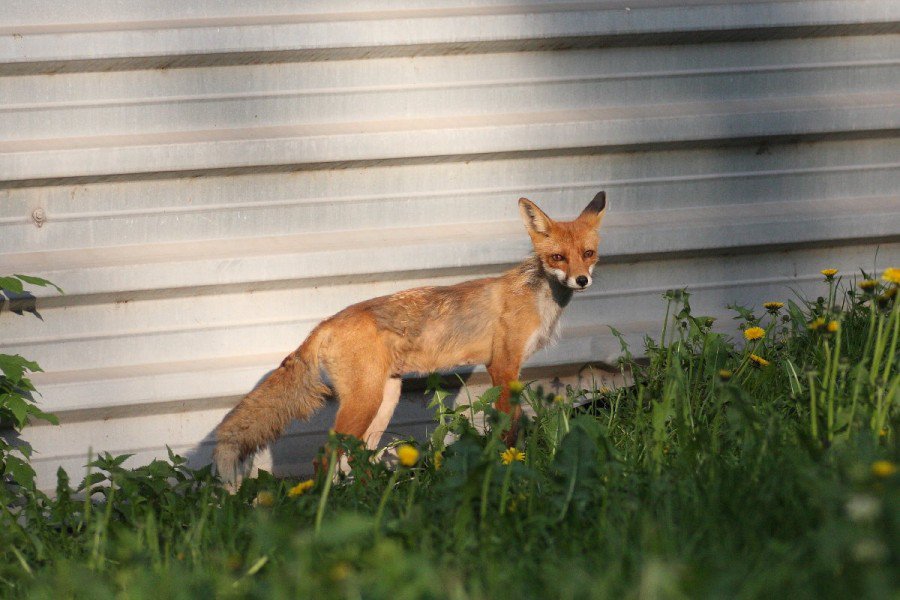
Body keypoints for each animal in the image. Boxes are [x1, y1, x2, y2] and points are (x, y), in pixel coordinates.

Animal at [213, 192, 604, 482]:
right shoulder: (503, 366)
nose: (582, 280)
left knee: (357, 455)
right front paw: (512, 465)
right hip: (365, 402)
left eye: (588, 254)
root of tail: (326, 322)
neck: (537, 297)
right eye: (558, 257)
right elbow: (511, 426)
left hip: (385, 400)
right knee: (325, 457)